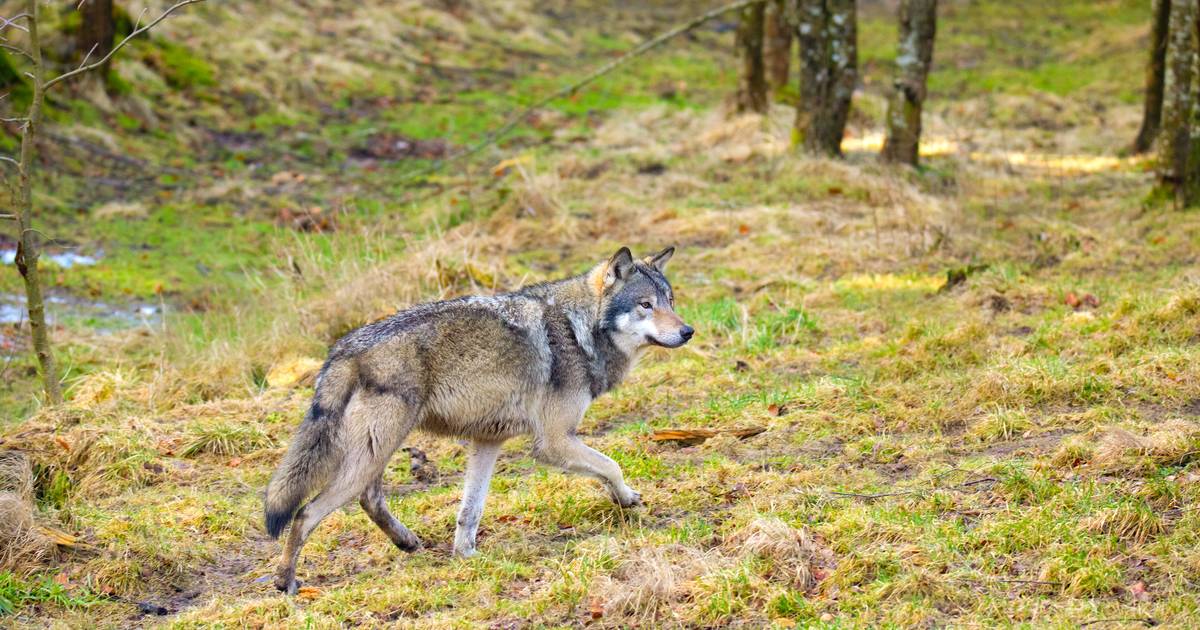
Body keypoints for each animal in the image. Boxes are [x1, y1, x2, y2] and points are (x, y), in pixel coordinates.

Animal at [262, 244, 696, 590]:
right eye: (645, 305)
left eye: (671, 301)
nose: (688, 331)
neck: (579, 330)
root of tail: (343, 348)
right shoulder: (554, 441)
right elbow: (611, 466)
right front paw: (627, 499)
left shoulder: (488, 441)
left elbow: (469, 511)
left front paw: (466, 556)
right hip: (375, 450)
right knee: (306, 513)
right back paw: (286, 581)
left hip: (375, 452)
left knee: (369, 499)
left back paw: (407, 542)